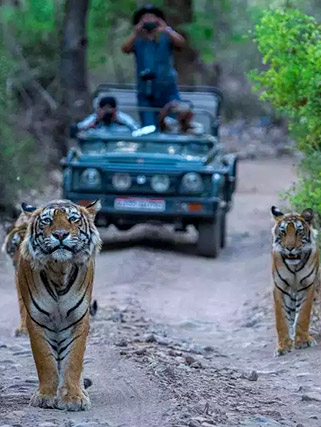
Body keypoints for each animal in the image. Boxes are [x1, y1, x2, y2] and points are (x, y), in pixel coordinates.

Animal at [16, 200, 101, 412]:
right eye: (47, 221)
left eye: (73, 219)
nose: (61, 234)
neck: (59, 270)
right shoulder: (37, 320)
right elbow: (45, 360)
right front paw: (46, 396)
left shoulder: (78, 319)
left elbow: (74, 360)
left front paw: (74, 398)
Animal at [270, 207, 318, 358]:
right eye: (283, 232)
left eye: (298, 231)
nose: (290, 248)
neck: (294, 266)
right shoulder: (279, 287)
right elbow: (281, 319)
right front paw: (283, 346)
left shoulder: (307, 286)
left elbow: (303, 315)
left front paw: (303, 341)